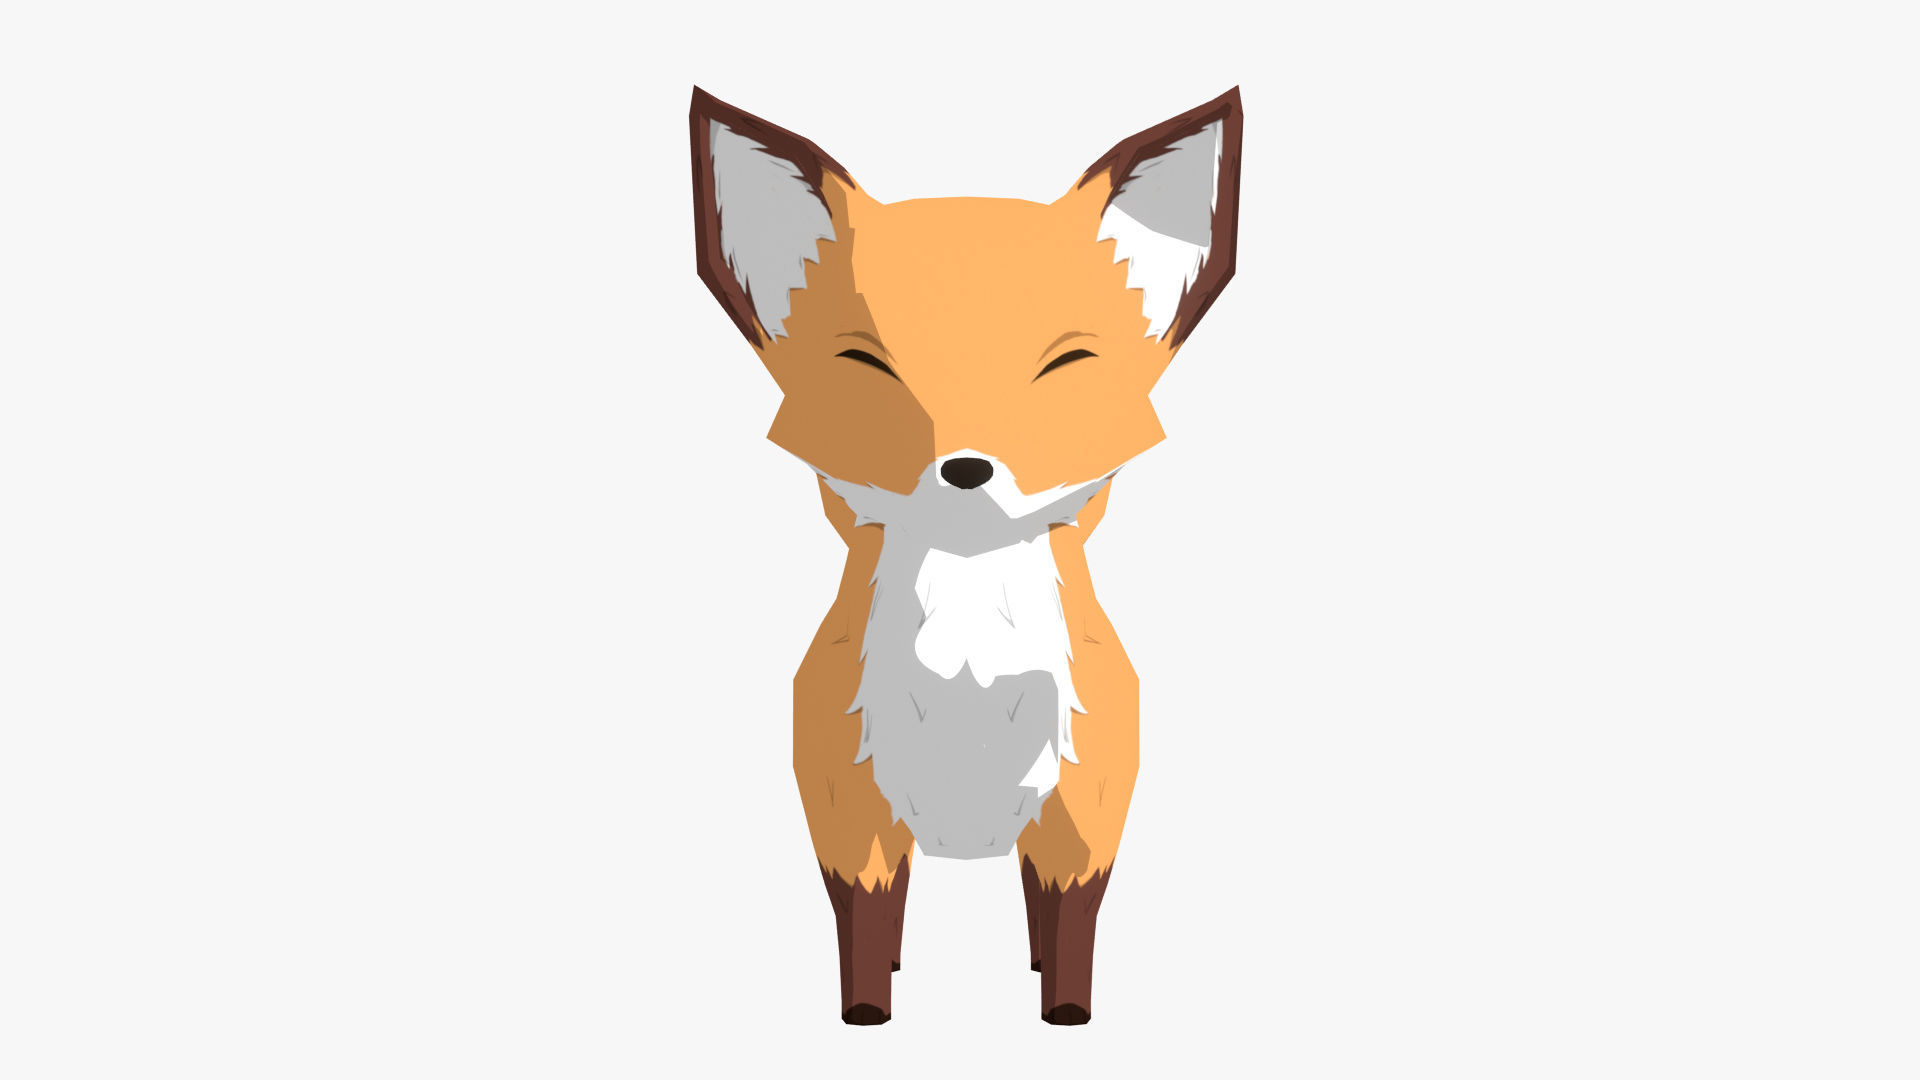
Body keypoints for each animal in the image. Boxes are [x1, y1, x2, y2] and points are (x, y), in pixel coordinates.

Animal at [687, 85, 1242, 1025]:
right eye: (867, 363)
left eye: (1066, 364)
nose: (966, 468)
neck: (968, 670)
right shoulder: (852, 817)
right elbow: (865, 938)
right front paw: (867, 1016)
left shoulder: (1080, 821)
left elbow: (1068, 940)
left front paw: (1066, 1017)